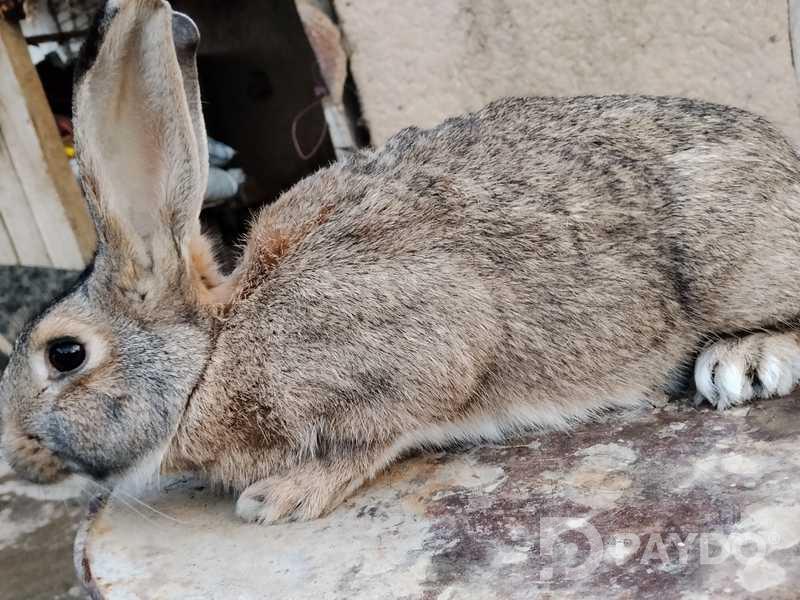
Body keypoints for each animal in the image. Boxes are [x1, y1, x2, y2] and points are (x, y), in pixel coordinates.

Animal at [3, 0, 800, 525]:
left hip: (737, 260)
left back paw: (743, 361)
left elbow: (379, 434)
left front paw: (278, 498)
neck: (214, 352)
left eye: (64, 354)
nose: (17, 455)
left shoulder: (427, 347)